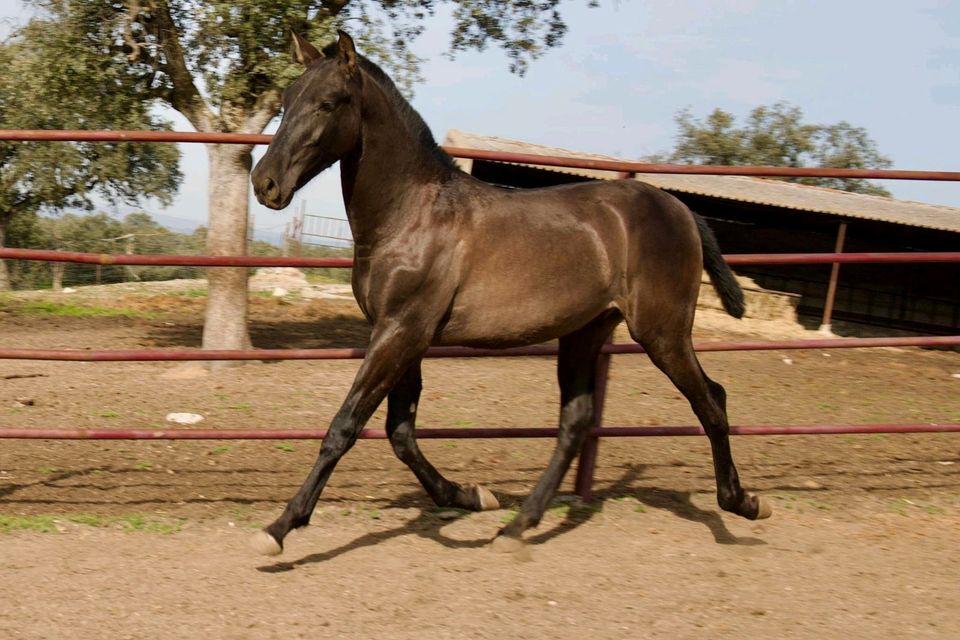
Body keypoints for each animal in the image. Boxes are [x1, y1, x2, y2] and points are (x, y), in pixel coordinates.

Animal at [249, 32, 772, 556]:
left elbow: (345, 425)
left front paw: (280, 528)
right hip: (585, 332)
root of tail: (681, 209)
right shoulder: (401, 334)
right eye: (286, 100)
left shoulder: (401, 331)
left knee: (711, 400)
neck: (412, 215)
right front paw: (470, 496)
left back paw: (744, 504)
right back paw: (519, 525)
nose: (265, 183)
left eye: (327, 103)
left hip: (662, 331)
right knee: (576, 421)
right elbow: (400, 432)